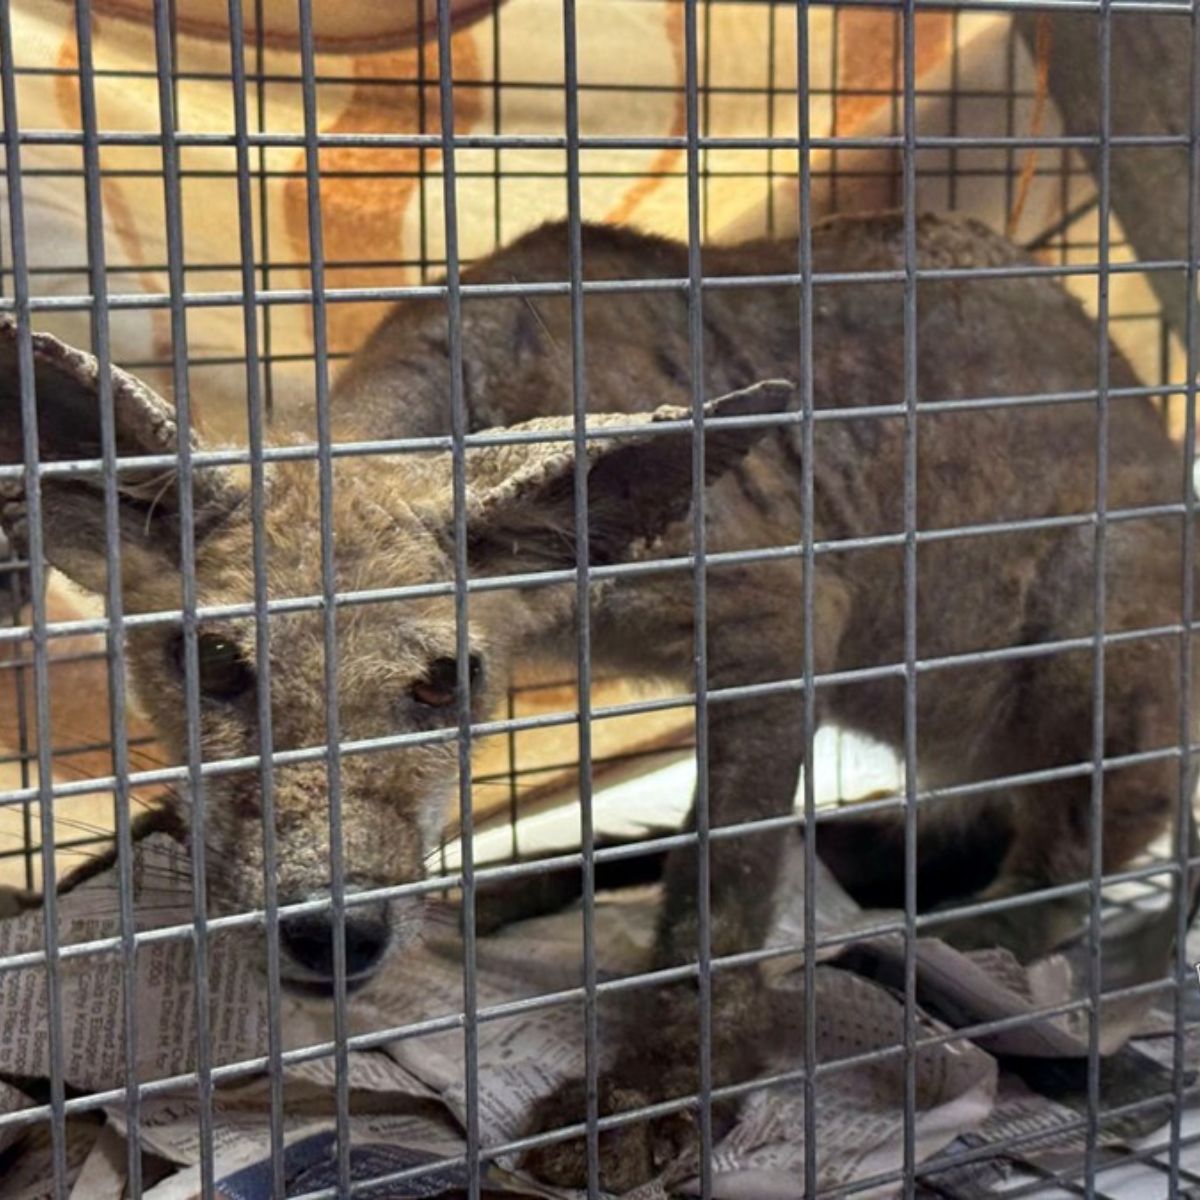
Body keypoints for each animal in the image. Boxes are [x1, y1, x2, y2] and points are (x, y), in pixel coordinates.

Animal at [0, 211, 1192, 1190]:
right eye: (213, 666)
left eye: (447, 681)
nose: (333, 934)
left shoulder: (784, 611)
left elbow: (717, 895)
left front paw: (659, 1088)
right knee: (904, 835)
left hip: (1090, 631)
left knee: (1066, 861)